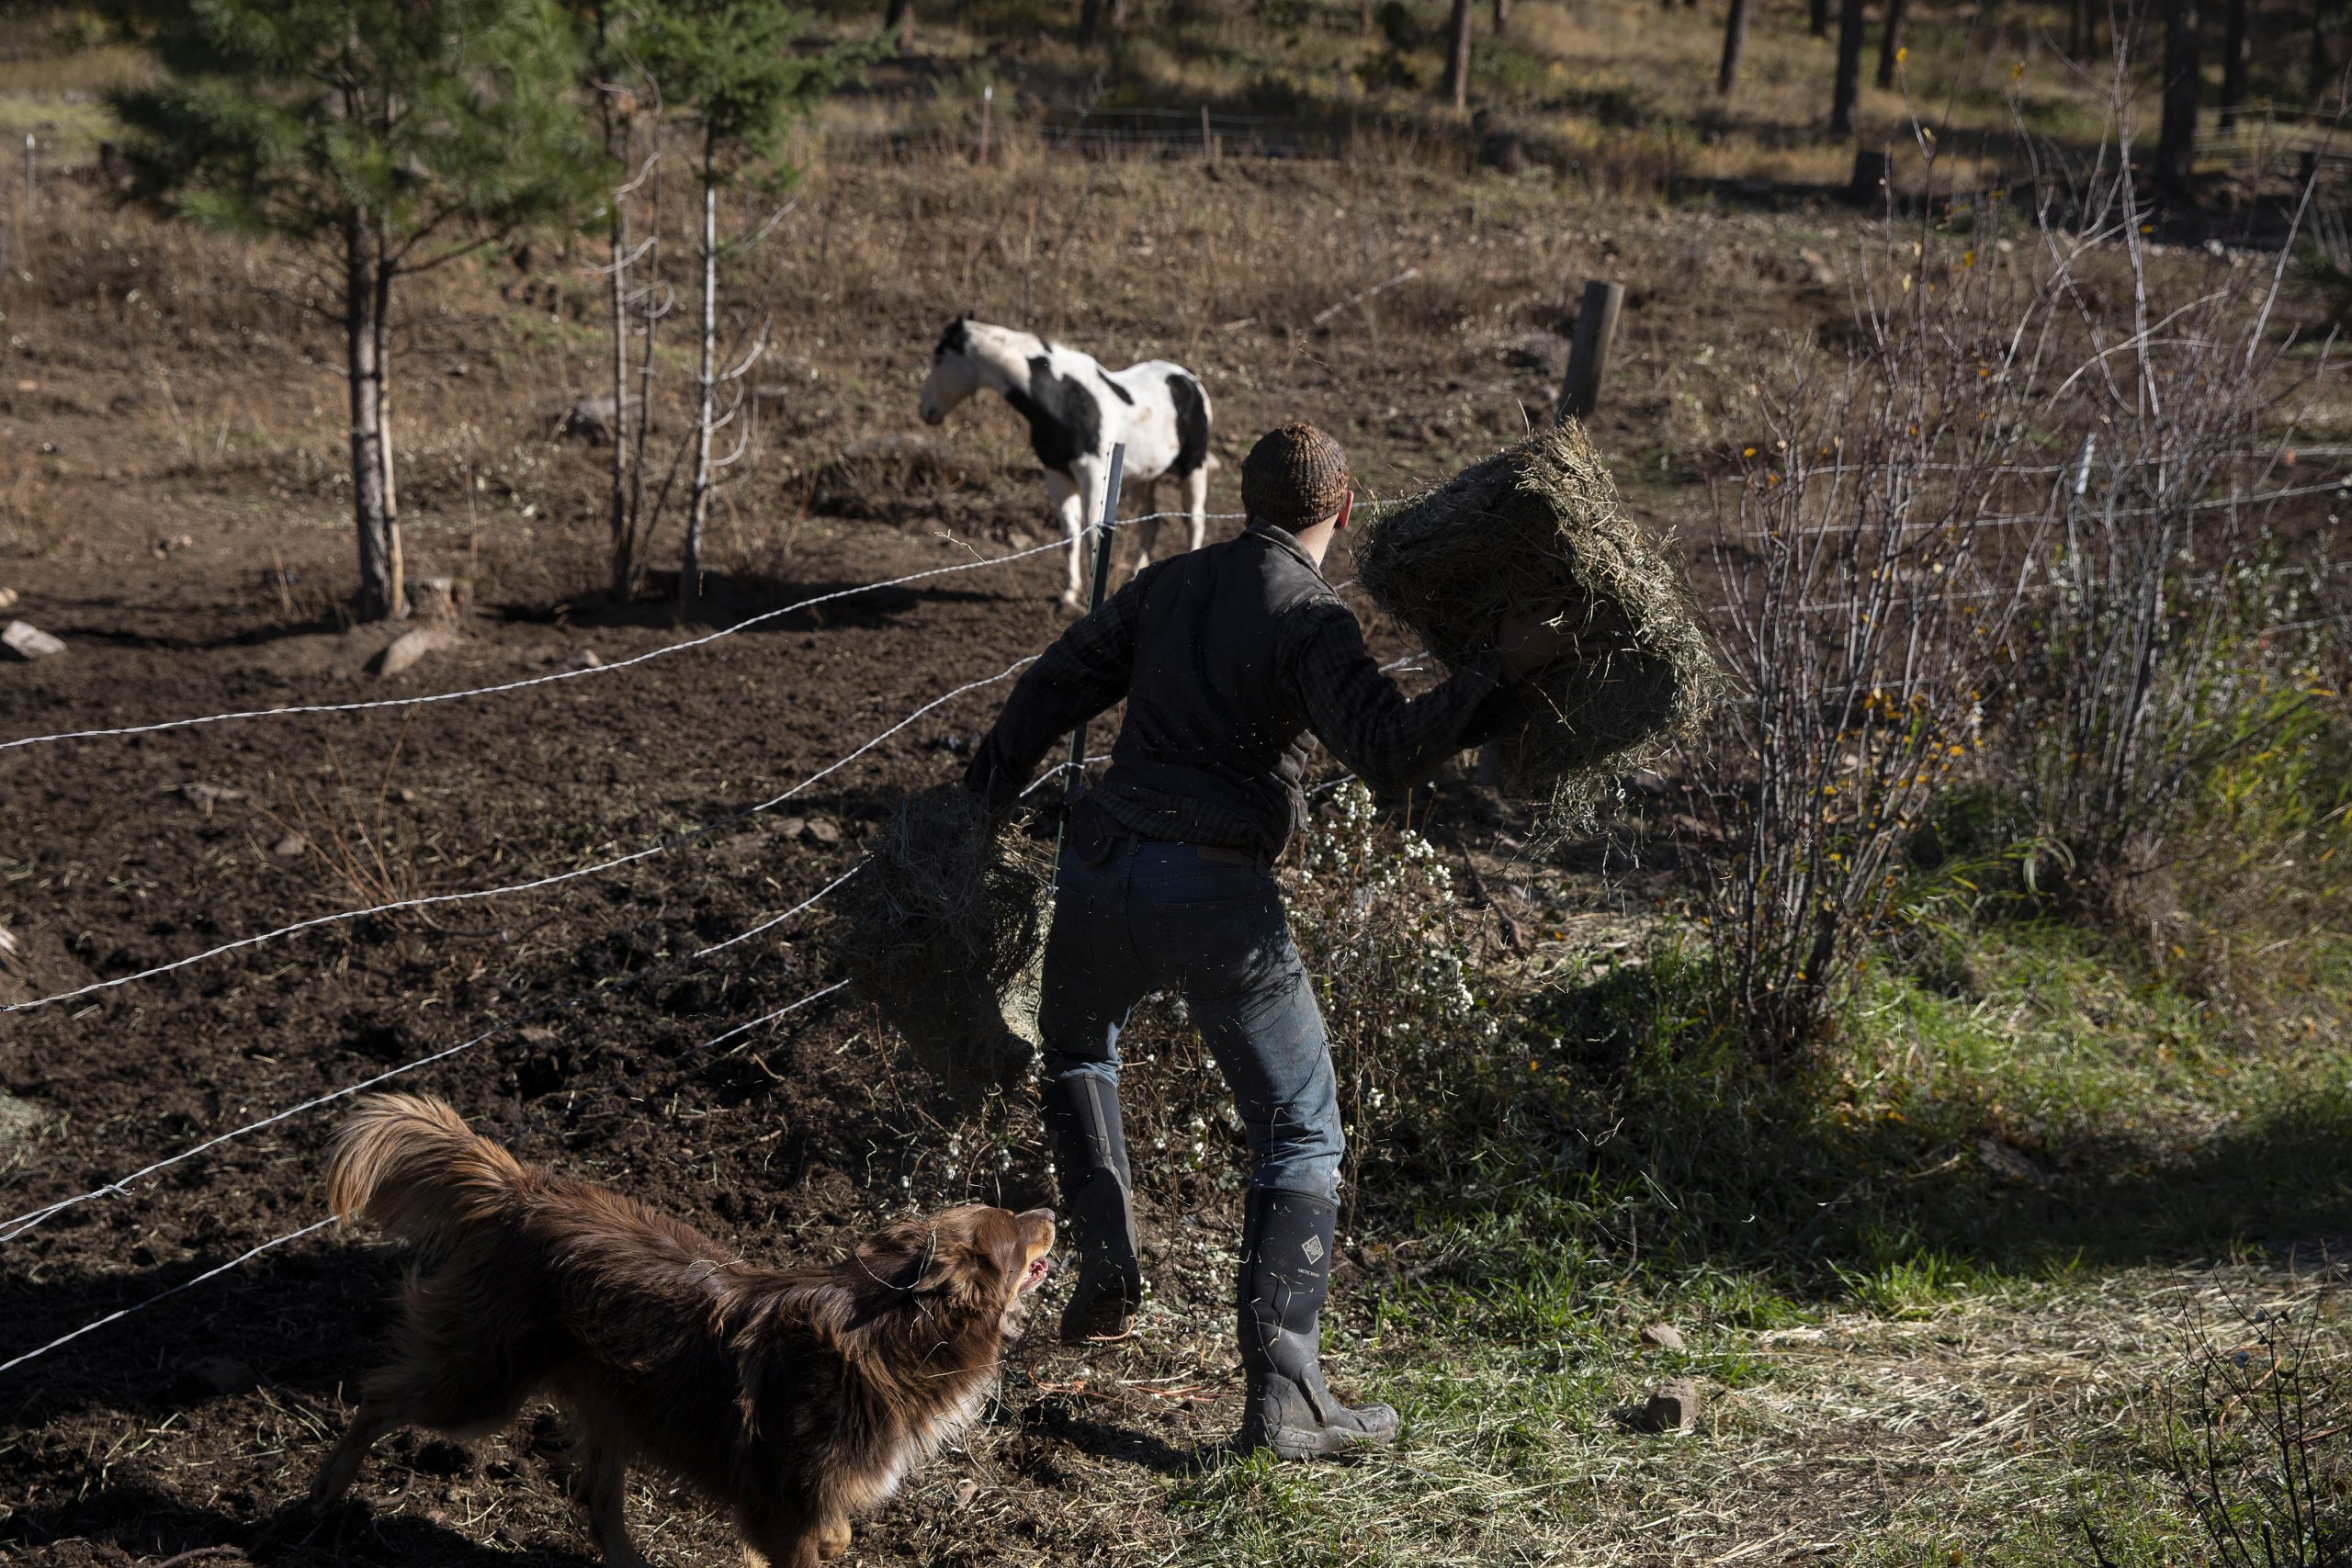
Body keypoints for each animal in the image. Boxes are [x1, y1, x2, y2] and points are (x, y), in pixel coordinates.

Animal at [310, 1100, 1058, 1561]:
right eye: (1017, 1228)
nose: (1052, 1209)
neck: (890, 1330)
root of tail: (520, 1189)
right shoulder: (786, 1501)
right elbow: (809, 1542)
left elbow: (836, 1535)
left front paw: (838, 1539)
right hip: (482, 1384)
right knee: (378, 1398)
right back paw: (323, 1494)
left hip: (607, 1396)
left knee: (598, 1498)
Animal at [917, 314, 1213, 611]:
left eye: (939, 357)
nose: (924, 411)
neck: (1064, 399)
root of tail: (1190, 381)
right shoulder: (1056, 474)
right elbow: (1069, 536)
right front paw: (1068, 595)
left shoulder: (1092, 473)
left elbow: (1093, 533)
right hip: (1144, 479)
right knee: (1149, 526)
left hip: (1192, 467)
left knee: (1195, 521)